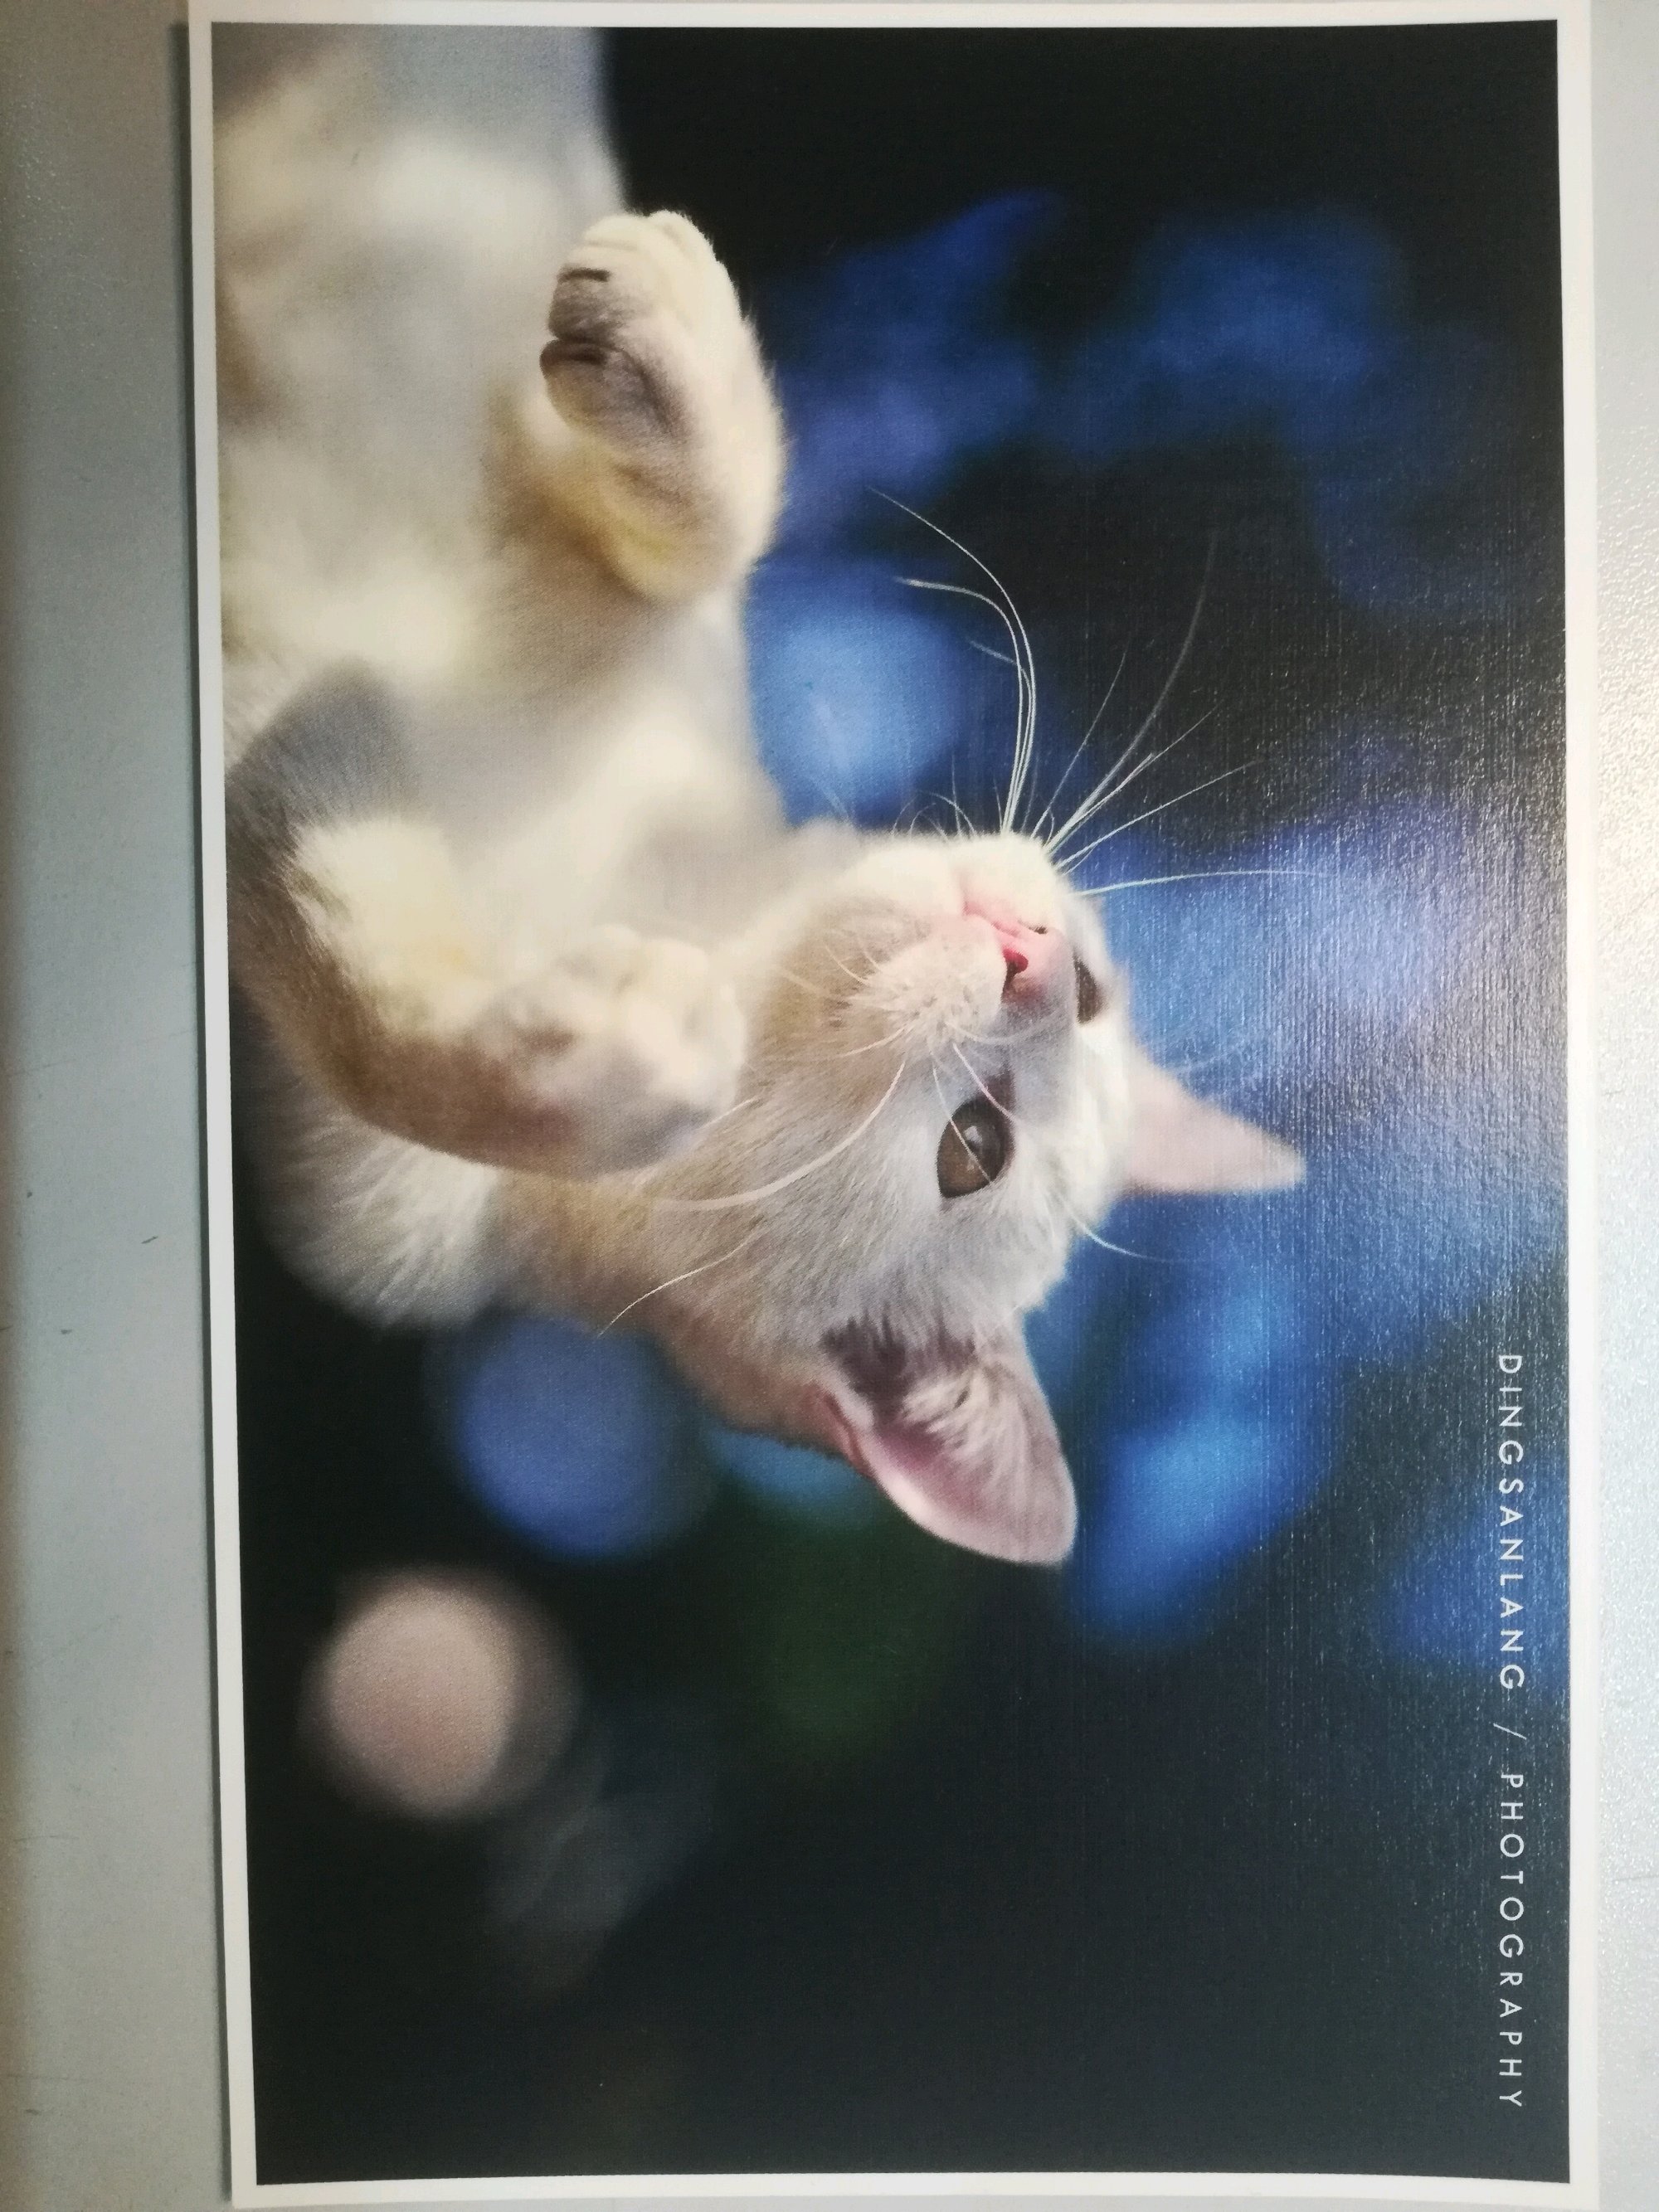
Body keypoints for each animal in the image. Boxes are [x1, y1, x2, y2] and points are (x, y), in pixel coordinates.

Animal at [215, 29, 1299, 1568]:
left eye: (975, 1147)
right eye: (1091, 992)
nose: (1029, 959)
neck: (623, 892)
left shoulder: (360, 1170)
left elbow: (363, 997)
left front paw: (609, 1049)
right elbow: (716, 528)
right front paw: (670, 339)